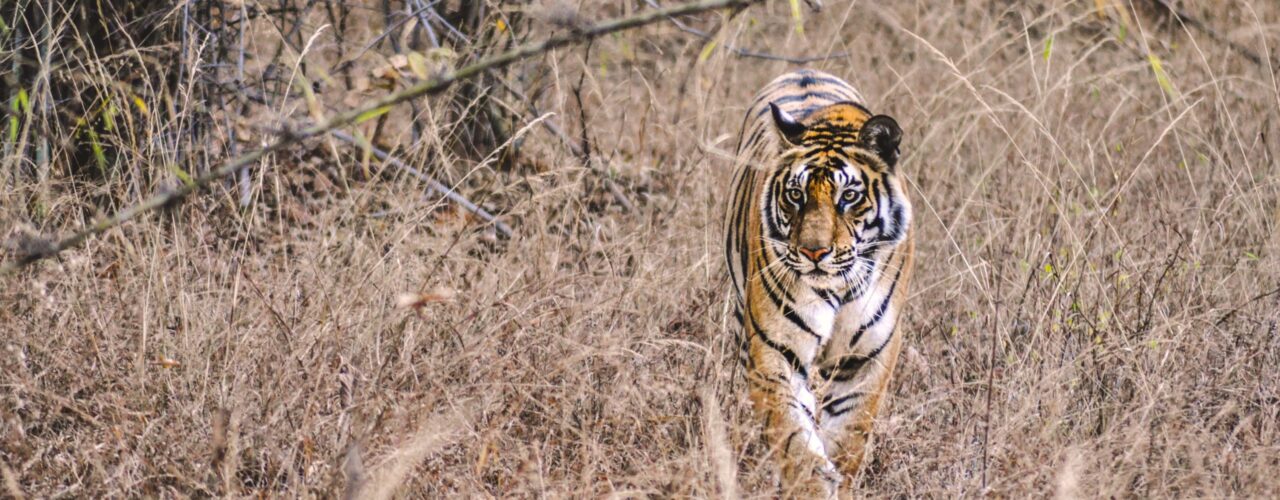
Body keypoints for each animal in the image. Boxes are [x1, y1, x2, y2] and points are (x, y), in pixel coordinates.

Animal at [727, 69, 916, 496]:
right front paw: (810, 485)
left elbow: (848, 438)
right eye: (796, 195)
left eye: (849, 196)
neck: (839, 287)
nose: (814, 252)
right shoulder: (776, 352)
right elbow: (795, 443)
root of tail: (803, 72)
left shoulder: (867, 358)